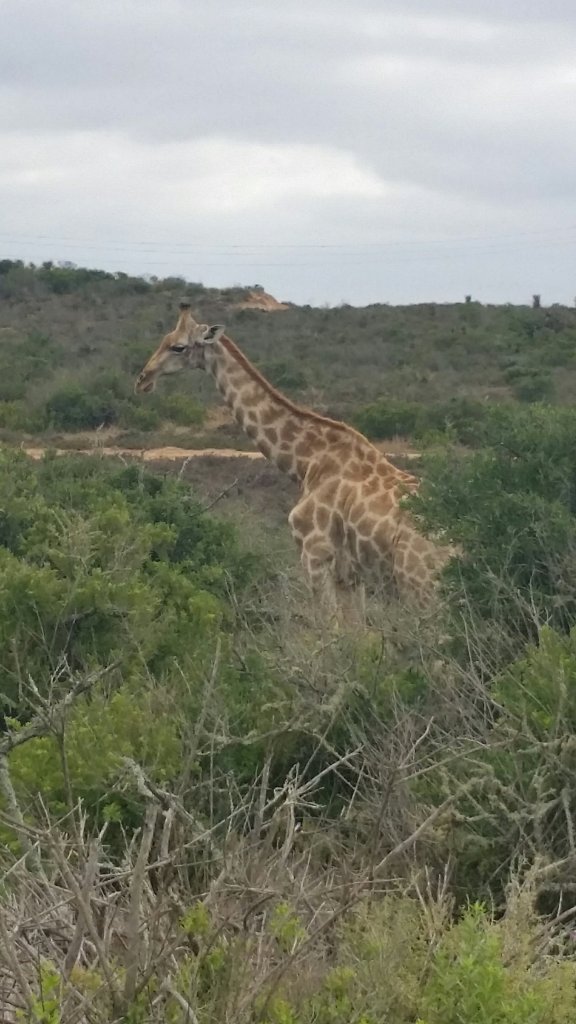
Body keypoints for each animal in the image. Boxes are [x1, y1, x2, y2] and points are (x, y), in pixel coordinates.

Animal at [134, 302, 453, 623]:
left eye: (178, 346)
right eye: (164, 339)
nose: (143, 379)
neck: (306, 461)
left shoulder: (314, 553)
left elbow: (330, 626)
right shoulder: (350, 575)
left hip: (420, 585)